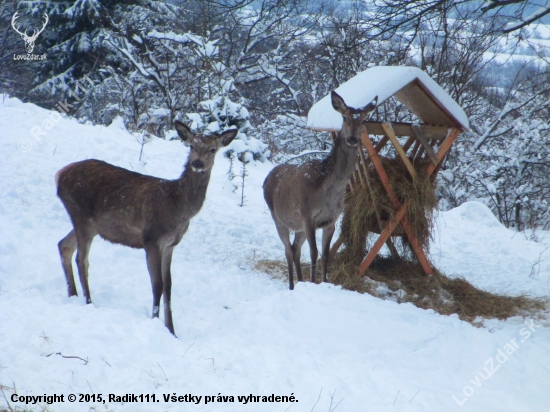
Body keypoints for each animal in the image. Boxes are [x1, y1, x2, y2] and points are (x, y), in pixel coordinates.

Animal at [56, 120, 237, 334]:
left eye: (212, 149)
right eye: (192, 146)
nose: (197, 163)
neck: (178, 207)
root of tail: (59, 175)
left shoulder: (169, 245)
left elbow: (168, 285)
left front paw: (172, 331)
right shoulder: (152, 239)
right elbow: (157, 283)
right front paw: (155, 322)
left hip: (88, 224)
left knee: (64, 245)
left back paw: (73, 294)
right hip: (82, 217)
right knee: (81, 260)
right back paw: (89, 301)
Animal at [264, 91, 378, 290]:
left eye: (363, 120)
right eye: (344, 117)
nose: (352, 139)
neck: (328, 191)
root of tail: (267, 178)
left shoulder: (331, 220)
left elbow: (325, 255)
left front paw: (324, 282)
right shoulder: (308, 215)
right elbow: (314, 252)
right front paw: (313, 281)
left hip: (298, 224)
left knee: (295, 248)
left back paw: (300, 282)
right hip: (278, 217)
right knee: (288, 250)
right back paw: (292, 285)